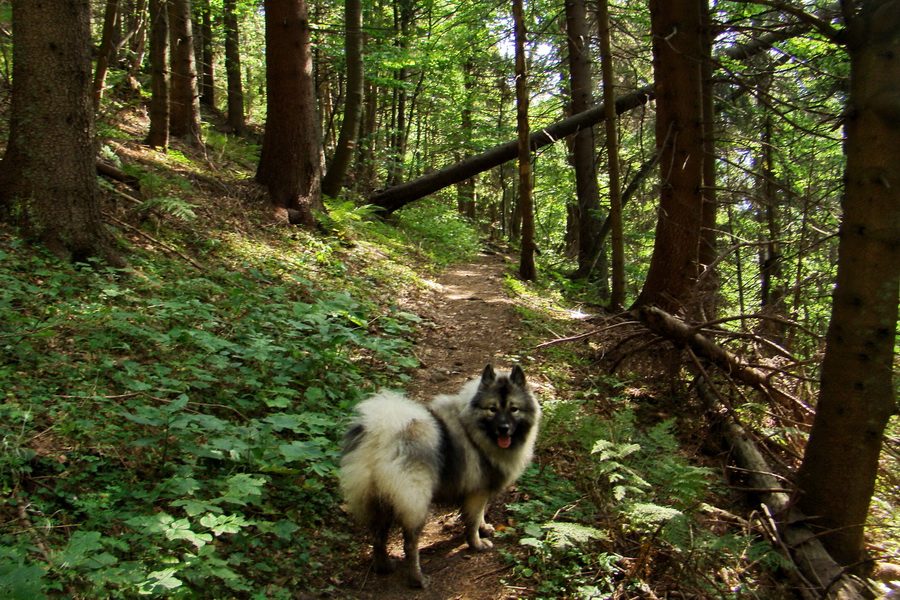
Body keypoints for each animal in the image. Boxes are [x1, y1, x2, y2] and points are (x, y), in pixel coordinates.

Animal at [340, 364, 540, 588]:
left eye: (514, 409)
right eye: (492, 409)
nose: (503, 428)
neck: (472, 427)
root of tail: (381, 440)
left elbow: (479, 515)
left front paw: (485, 528)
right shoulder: (477, 492)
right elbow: (472, 521)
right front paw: (477, 543)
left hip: (380, 499)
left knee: (378, 536)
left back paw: (384, 566)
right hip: (415, 503)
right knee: (409, 545)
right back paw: (418, 579)